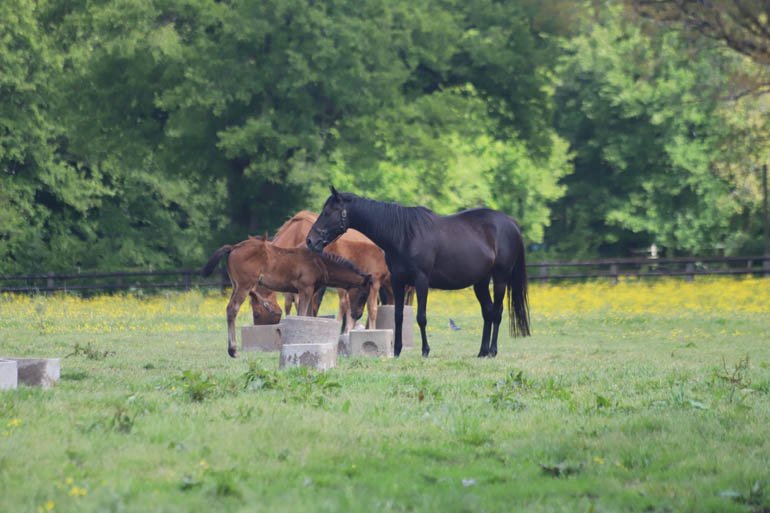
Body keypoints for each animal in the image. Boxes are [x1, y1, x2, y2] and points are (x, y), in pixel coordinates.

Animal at [202, 235, 373, 357]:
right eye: (364, 294)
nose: (357, 314)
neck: (319, 263)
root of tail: (233, 247)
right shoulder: (305, 289)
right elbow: (302, 314)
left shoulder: (310, 291)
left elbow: (309, 316)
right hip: (244, 285)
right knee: (232, 310)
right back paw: (233, 350)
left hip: (236, 285)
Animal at [307, 187, 530, 358]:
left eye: (328, 212)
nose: (310, 240)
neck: (404, 235)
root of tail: (511, 223)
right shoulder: (398, 282)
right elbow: (398, 316)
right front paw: (397, 351)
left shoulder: (421, 281)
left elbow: (421, 317)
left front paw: (425, 350)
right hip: (480, 282)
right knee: (488, 311)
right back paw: (482, 351)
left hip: (500, 279)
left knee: (497, 312)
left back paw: (492, 351)